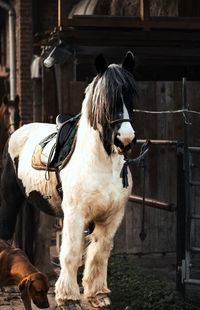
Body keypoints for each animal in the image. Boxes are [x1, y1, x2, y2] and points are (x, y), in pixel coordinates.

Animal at [0, 52, 138, 308]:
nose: (125, 140)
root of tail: (17, 132)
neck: (101, 163)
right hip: (9, 199)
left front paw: (97, 295)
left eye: (130, 94)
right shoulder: (75, 215)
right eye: (104, 100)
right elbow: (71, 253)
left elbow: (99, 253)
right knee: (5, 232)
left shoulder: (111, 216)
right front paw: (68, 298)